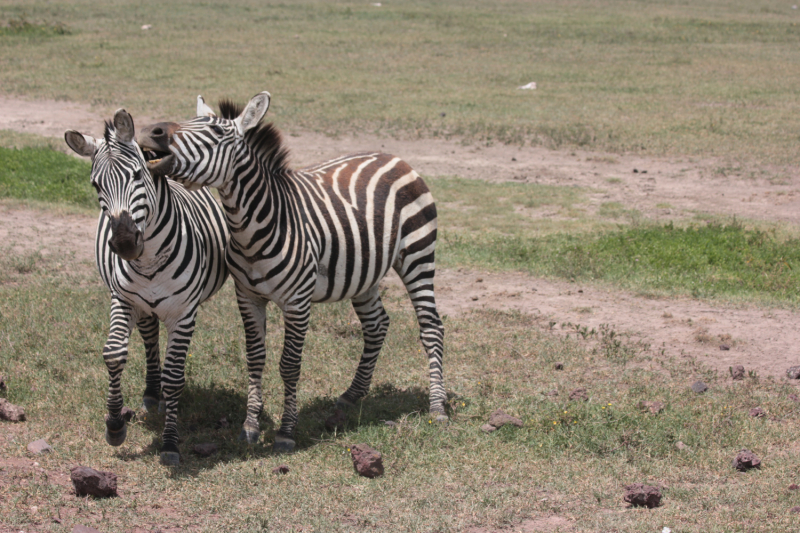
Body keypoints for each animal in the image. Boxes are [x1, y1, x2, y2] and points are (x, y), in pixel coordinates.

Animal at [64, 106, 230, 464]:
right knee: (151, 337)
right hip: (143, 305)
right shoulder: (123, 299)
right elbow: (114, 354)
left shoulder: (184, 312)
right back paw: (153, 393)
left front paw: (169, 443)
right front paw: (115, 425)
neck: (150, 259)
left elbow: (175, 375)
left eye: (138, 176)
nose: (125, 244)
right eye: (95, 184)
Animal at [140, 92, 446, 454]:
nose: (151, 131)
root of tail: (394, 157)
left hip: (418, 254)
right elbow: (255, 358)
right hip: (364, 273)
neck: (255, 227)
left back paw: (437, 408)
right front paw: (250, 427)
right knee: (376, 325)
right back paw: (352, 395)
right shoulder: (247, 297)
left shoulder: (298, 301)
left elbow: (289, 364)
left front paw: (286, 431)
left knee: (431, 326)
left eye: (215, 133)